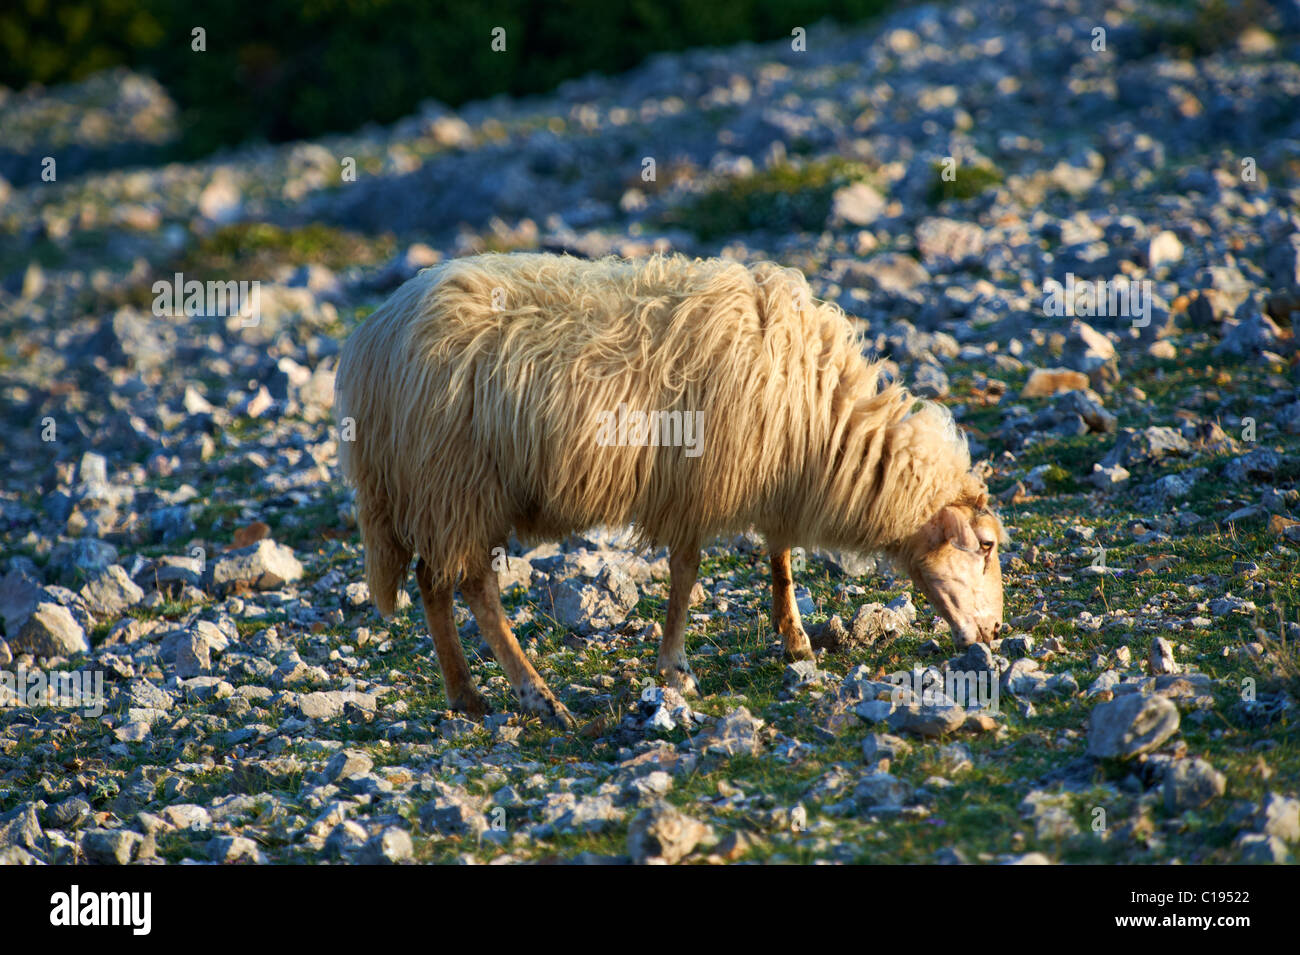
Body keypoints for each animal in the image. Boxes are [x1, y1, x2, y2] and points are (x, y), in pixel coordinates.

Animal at [335, 252, 1005, 728]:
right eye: (987, 545)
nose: (996, 636)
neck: (823, 420)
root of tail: (373, 339)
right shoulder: (697, 485)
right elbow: (686, 577)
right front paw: (676, 671)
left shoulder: (764, 471)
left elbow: (780, 555)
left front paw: (795, 640)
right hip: (457, 483)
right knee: (473, 586)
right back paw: (536, 696)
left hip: (435, 491)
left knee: (434, 583)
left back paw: (465, 696)